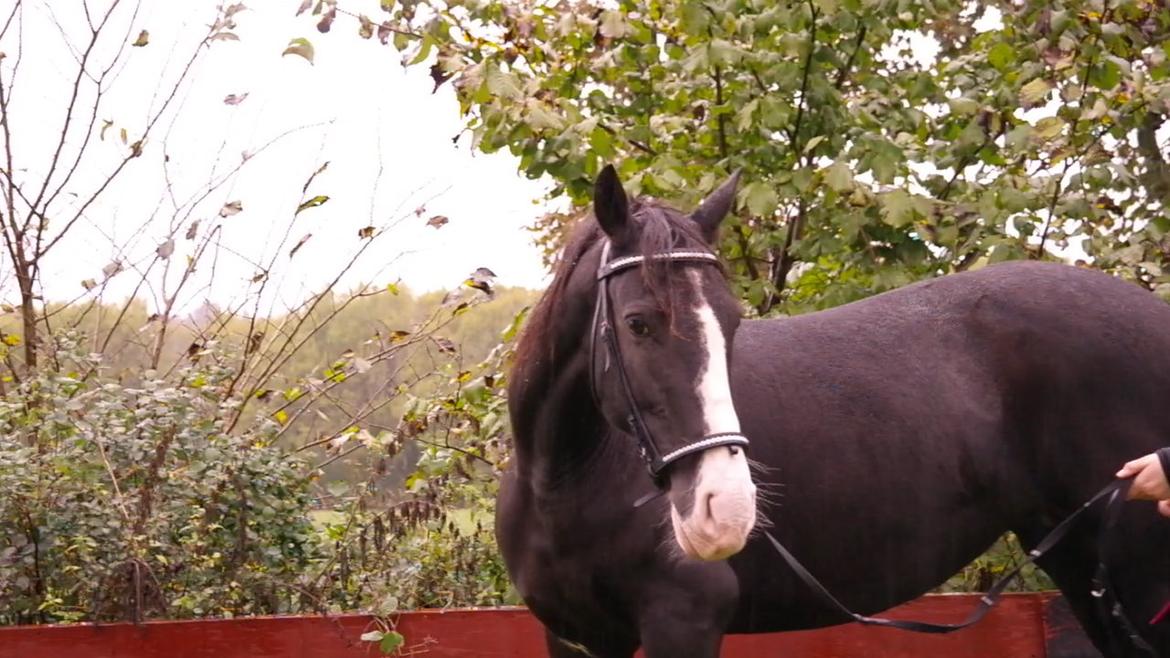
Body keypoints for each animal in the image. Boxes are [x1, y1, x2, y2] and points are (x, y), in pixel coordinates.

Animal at [498, 165, 1170, 655]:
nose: (726, 509)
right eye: (638, 324)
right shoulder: (579, 639)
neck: (565, 480)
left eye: (733, 323)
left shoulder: (682, 620)